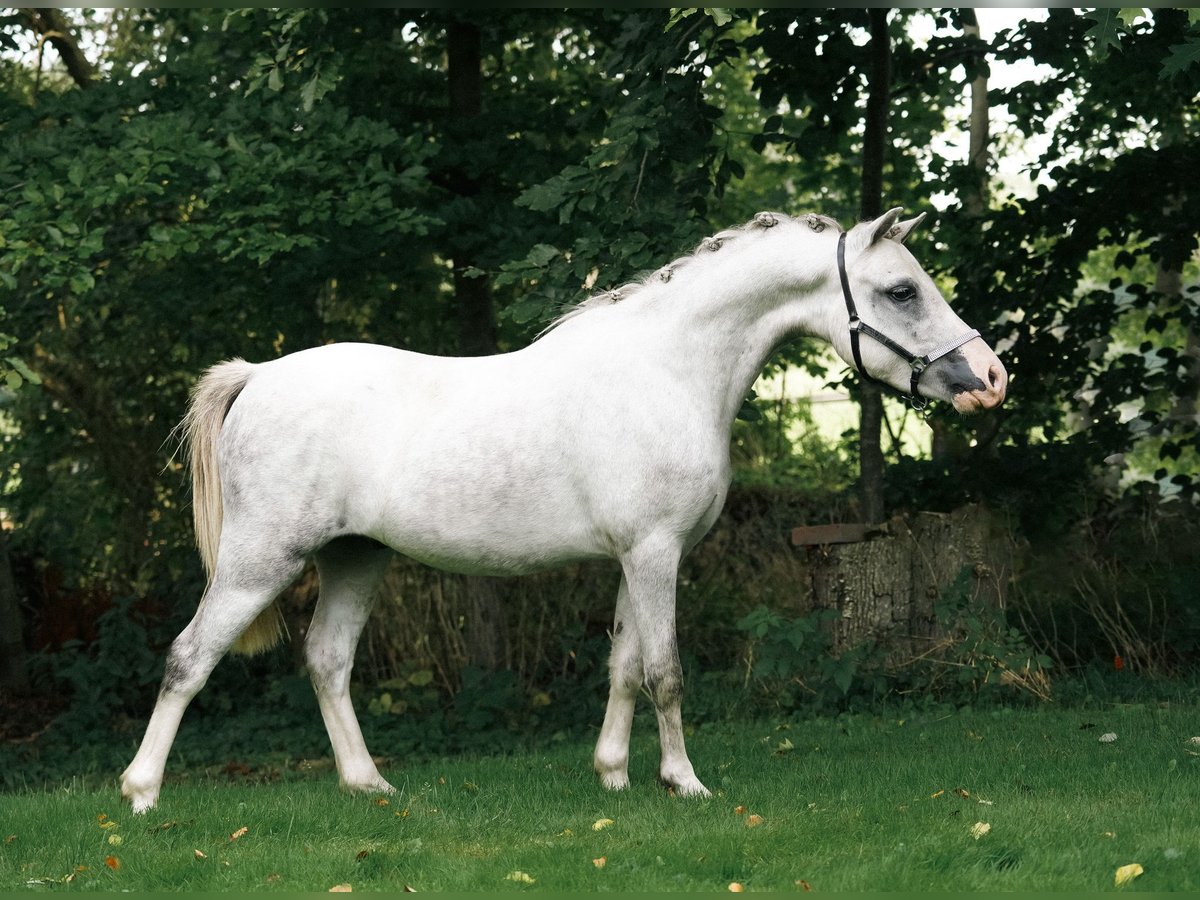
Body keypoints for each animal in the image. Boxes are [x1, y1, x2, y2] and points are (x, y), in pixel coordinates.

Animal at [121, 207, 1003, 816]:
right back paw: (141, 794)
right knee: (189, 658)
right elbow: (665, 671)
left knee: (329, 661)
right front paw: (684, 783)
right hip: (259, 561)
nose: (990, 378)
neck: (668, 369)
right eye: (902, 290)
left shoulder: (636, 558)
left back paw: (369, 785)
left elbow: (622, 666)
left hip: (355, 557)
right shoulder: (655, 553)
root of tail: (258, 375)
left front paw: (613, 775)